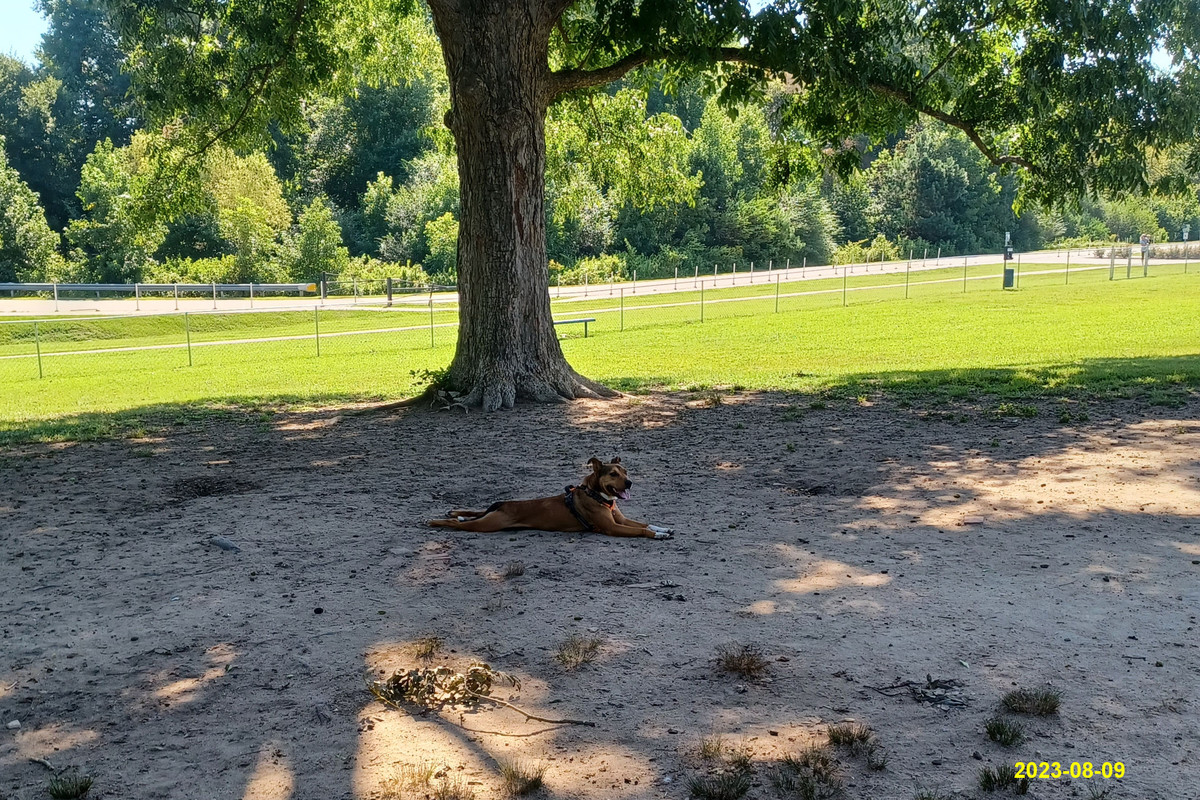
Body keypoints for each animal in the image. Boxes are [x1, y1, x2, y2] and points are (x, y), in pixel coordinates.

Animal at [429, 457, 673, 539]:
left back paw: (456, 511)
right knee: (458, 524)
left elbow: (645, 523)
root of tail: (504, 505)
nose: (630, 483)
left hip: (490, 516)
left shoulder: (620, 520)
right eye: (613, 474)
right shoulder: (613, 527)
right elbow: (640, 530)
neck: (596, 494)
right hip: (488, 524)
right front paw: (658, 535)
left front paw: (663, 528)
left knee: (475, 511)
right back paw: (434, 521)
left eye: (626, 472)